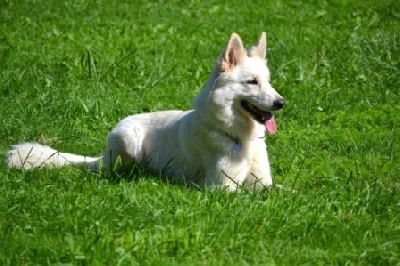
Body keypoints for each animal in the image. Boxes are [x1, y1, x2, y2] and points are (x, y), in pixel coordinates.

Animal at [6, 32, 284, 191]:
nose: (281, 103)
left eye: (269, 82)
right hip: (128, 140)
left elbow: (281, 191)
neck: (238, 137)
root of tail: (102, 156)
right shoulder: (221, 189)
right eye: (252, 82)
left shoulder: (264, 184)